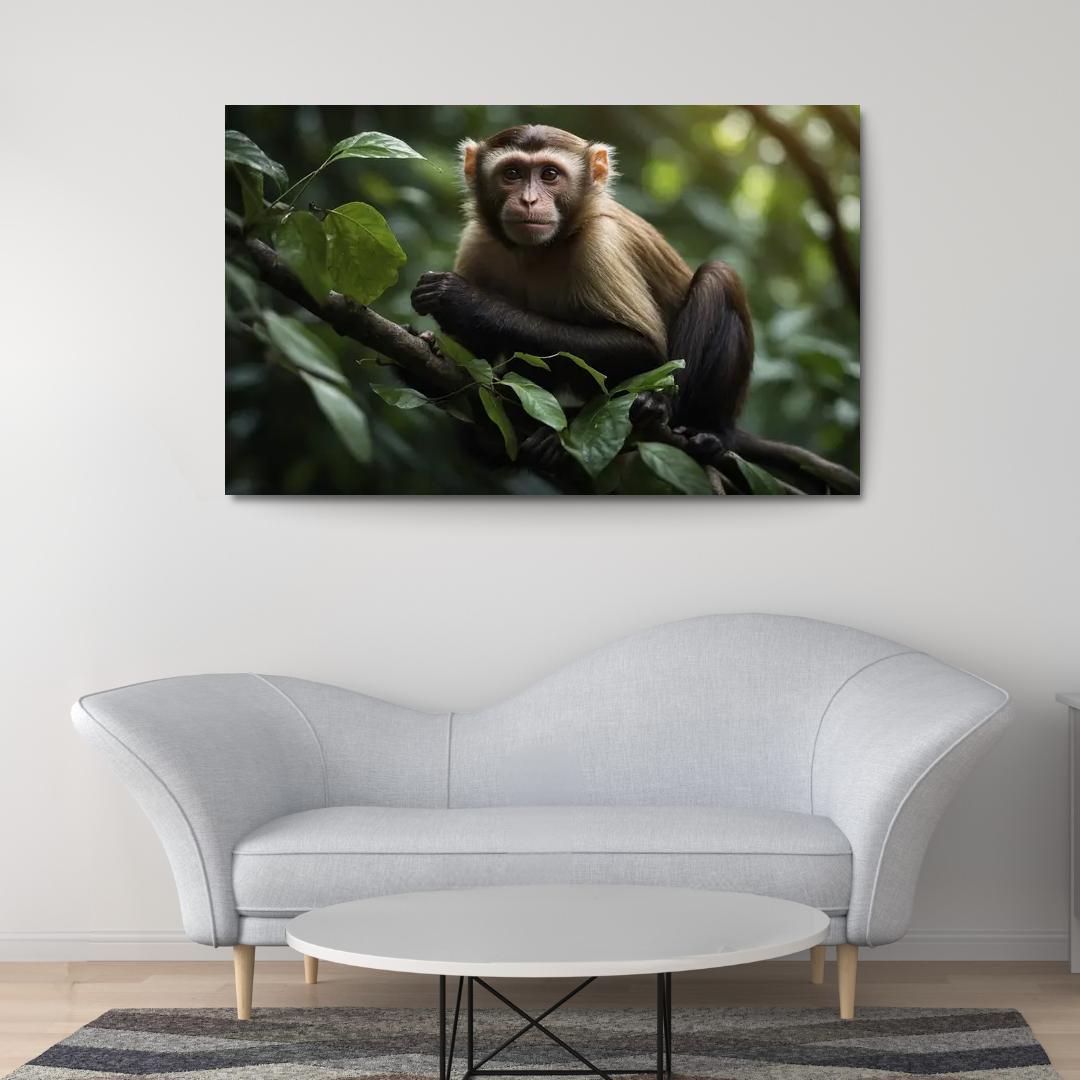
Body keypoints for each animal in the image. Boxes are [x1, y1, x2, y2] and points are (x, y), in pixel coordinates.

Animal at [410, 124, 754, 442]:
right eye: (512, 173)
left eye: (550, 174)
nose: (528, 200)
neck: (542, 249)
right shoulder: (478, 241)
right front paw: (433, 345)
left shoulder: (600, 245)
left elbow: (643, 347)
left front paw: (462, 301)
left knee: (717, 278)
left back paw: (693, 424)